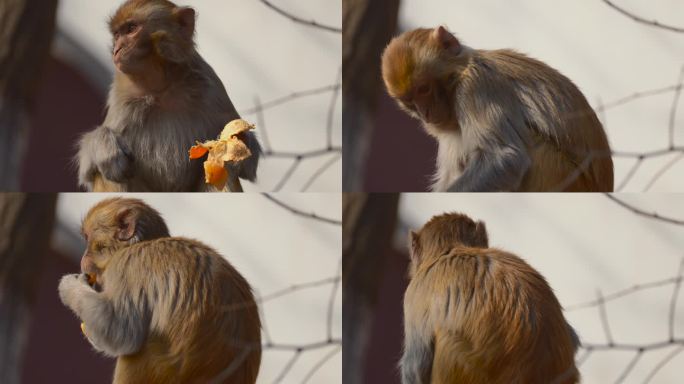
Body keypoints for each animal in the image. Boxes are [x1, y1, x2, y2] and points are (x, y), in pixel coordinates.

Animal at [56, 198, 262, 384]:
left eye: (88, 239)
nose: (83, 259)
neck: (139, 245)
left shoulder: (129, 265)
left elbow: (119, 331)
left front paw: (68, 287)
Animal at [76, 0, 260, 192]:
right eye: (117, 34)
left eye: (131, 28)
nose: (116, 50)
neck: (162, 89)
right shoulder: (121, 100)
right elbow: (88, 169)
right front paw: (104, 147)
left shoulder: (211, 87)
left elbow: (247, 163)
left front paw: (237, 142)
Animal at [382, 25, 612, 190]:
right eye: (409, 102)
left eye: (424, 89)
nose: (425, 113)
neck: (460, 73)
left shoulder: (476, 88)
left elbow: (504, 159)